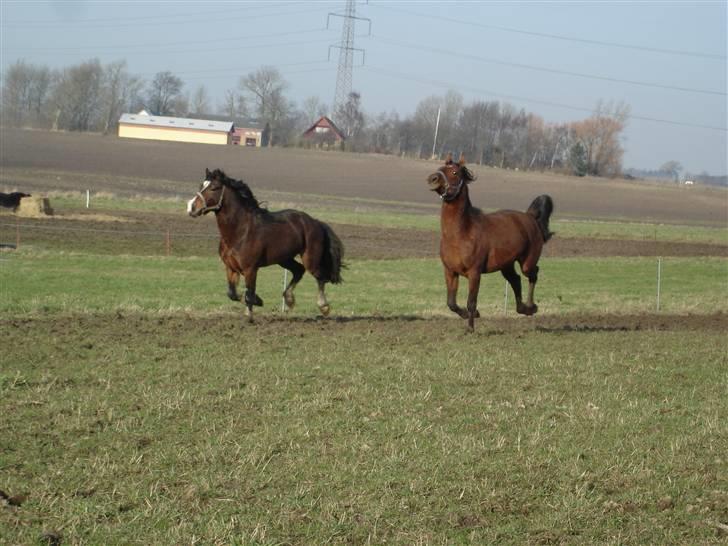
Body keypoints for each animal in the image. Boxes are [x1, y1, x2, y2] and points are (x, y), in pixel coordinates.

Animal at [189, 168, 346, 320]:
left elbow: (249, 293)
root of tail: (316, 222)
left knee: (320, 277)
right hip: (284, 259)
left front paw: (251, 313)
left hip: (310, 259)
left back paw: (323, 307)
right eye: (201, 185)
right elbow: (233, 294)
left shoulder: (250, 269)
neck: (239, 232)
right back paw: (289, 300)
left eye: (214, 188)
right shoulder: (231, 268)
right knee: (299, 270)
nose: (191, 208)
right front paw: (257, 302)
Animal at [426, 155, 552, 330]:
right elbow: (451, 303)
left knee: (533, 274)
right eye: (440, 168)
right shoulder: (450, 272)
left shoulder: (474, 273)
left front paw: (470, 328)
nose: (433, 178)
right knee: (516, 280)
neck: (461, 234)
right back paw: (523, 308)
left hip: (527, 262)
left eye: (454, 172)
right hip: (506, 265)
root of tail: (530, 217)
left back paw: (531, 307)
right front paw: (469, 315)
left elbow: (471, 302)